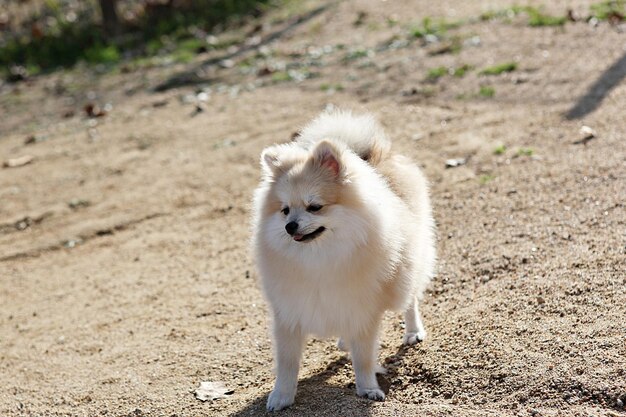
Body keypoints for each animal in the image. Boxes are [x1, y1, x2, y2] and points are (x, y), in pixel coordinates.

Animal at [250, 109, 434, 410]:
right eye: (285, 210)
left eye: (315, 207)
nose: (290, 226)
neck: (319, 258)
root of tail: (372, 156)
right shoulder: (288, 313)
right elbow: (287, 363)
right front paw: (281, 396)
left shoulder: (362, 310)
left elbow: (364, 358)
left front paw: (368, 388)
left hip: (405, 274)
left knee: (410, 300)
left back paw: (413, 332)